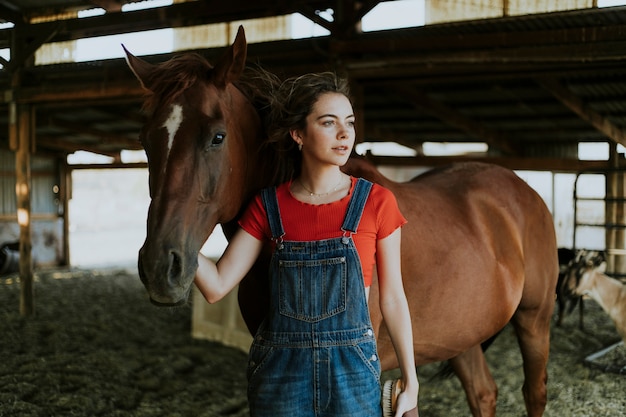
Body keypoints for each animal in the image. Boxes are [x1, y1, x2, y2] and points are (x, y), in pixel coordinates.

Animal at [125, 26, 556, 416]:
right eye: (145, 141)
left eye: (217, 137)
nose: (160, 266)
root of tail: (525, 190)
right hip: (462, 333)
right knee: (483, 392)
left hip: (534, 320)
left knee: (534, 392)